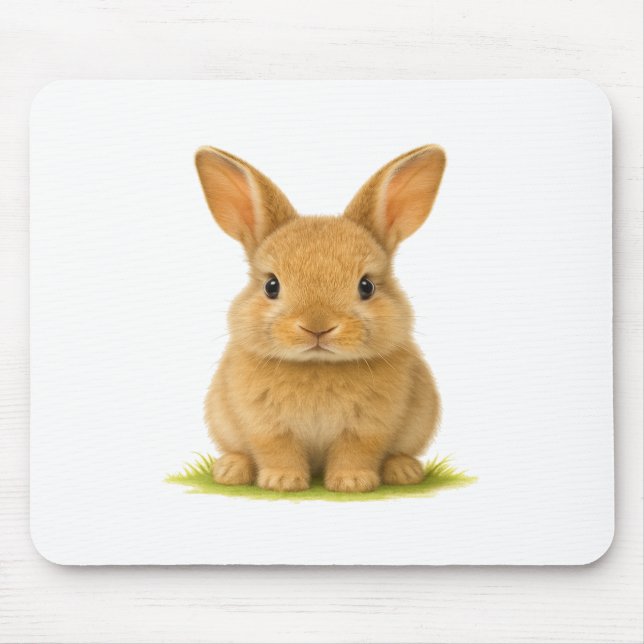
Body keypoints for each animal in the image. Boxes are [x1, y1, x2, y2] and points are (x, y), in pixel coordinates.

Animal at [195, 144, 446, 492]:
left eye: (366, 286)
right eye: (271, 285)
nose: (317, 327)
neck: (318, 364)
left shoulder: (368, 426)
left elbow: (356, 450)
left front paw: (352, 482)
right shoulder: (265, 424)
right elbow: (277, 449)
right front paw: (283, 481)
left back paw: (404, 471)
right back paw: (231, 470)